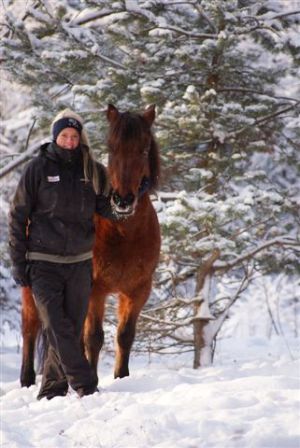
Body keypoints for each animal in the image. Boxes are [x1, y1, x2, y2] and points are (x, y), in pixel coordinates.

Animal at [19, 104, 161, 384]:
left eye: (143, 150)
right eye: (112, 148)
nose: (122, 200)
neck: (123, 231)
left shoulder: (138, 290)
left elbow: (125, 335)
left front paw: (121, 377)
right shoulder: (95, 290)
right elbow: (94, 338)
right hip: (31, 290)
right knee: (30, 329)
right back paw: (28, 380)